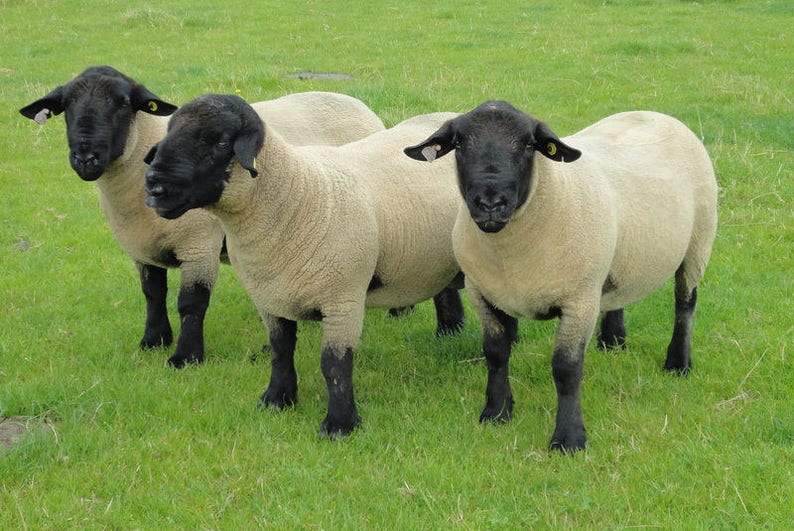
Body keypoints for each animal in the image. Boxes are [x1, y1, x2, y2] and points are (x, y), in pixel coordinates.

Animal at [17, 64, 388, 368]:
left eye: (122, 103)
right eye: (65, 106)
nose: (86, 157)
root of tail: (357, 103)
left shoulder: (199, 246)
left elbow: (190, 303)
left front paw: (185, 356)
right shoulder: (140, 247)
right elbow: (152, 294)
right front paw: (153, 340)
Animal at [142, 94, 464, 436]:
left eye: (218, 141)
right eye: (170, 129)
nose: (154, 187)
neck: (296, 195)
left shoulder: (343, 300)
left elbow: (334, 364)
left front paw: (339, 425)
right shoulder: (270, 297)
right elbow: (281, 350)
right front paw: (277, 400)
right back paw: (449, 333)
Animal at [406, 100, 716, 454]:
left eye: (529, 144)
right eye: (458, 144)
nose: (490, 203)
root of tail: (654, 113)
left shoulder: (578, 300)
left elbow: (566, 369)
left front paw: (569, 439)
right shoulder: (482, 291)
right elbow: (496, 353)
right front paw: (496, 412)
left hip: (699, 242)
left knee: (685, 303)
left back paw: (678, 363)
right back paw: (612, 341)